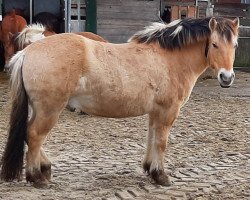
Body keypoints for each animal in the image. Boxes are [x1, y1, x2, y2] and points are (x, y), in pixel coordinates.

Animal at [0, 17, 239, 188]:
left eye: (235, 44)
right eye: (214, 44)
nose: (226, 77)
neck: (168, 58)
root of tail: (27, 51)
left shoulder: (155, 112)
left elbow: (151, 138)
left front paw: (150, 170)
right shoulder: (168, 111)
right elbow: (161, 142)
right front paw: (161, 176)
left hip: (41, 109)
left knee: (31, 136)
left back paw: (45, 169)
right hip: (50, 109)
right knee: (34, 135)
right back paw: (36, 177)